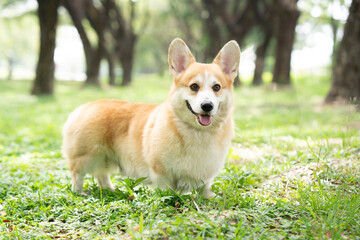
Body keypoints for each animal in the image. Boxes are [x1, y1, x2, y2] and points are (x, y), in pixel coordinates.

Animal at [62, 38, 240, 198]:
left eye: (216, 87)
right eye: (194, 86)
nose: (207, 106)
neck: (198, 132)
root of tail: (83, 107)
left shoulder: (206, 174)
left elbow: (205, 189)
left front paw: (211, 198)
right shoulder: (161, 171)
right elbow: (166, 190)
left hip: (105, 160)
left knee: (101, 176)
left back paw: (110, 191)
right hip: (88, 157)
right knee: (77, 174)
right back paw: (79, 193)